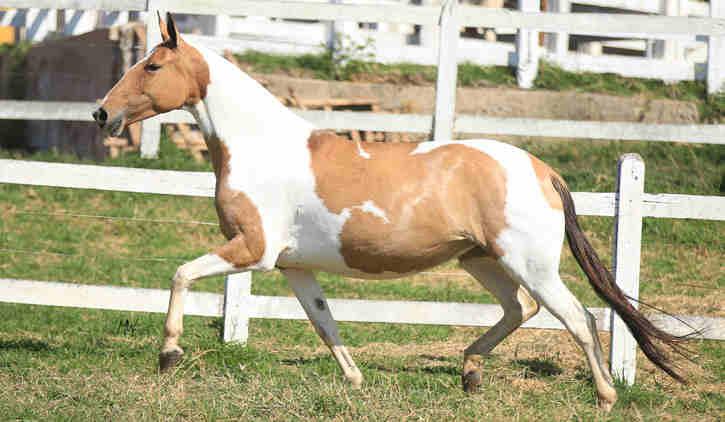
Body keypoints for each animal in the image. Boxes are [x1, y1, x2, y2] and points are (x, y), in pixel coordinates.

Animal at [93, 13, 688, 412]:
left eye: (153, 64)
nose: (102, 114)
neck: (259, 146)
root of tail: (542, 169)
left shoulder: (252, 252)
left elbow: (180, 274)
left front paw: (168, 355)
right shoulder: (293, 266)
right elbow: (324, 322)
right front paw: (355, 381)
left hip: (529, 263)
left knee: (577, 316)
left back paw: (605, 396)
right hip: (481, 260)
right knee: (521, 309)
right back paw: (470, 372)